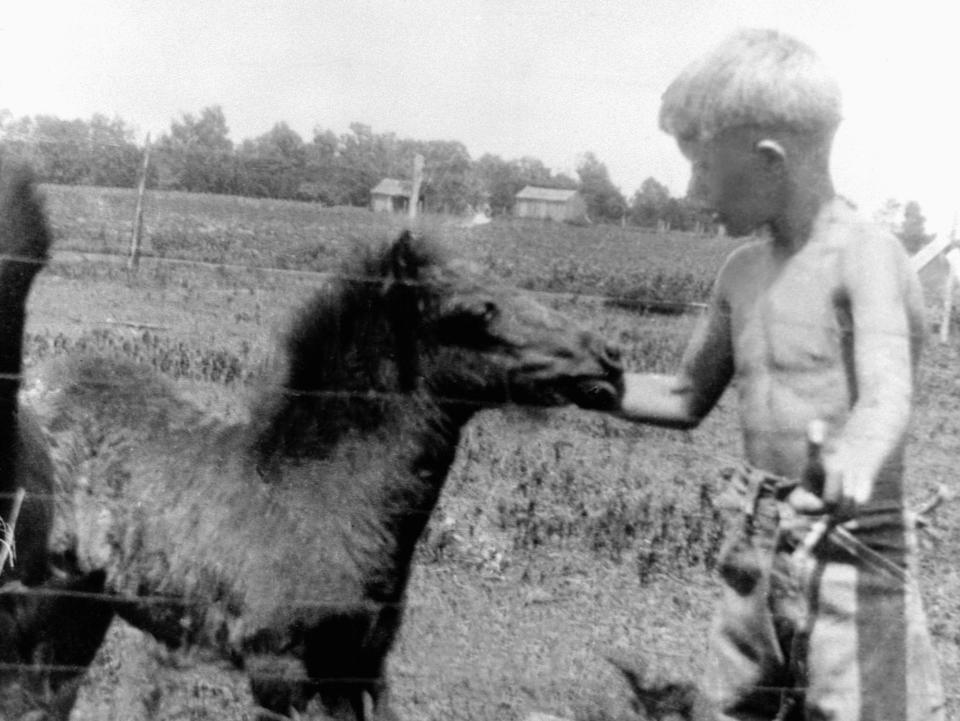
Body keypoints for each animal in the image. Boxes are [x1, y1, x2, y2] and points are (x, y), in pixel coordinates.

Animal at [20, 190, 632, 716]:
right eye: (477, 312)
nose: (609, 357)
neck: (320, 497)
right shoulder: (284, 675)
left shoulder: (359, 670)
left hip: (86, 604)